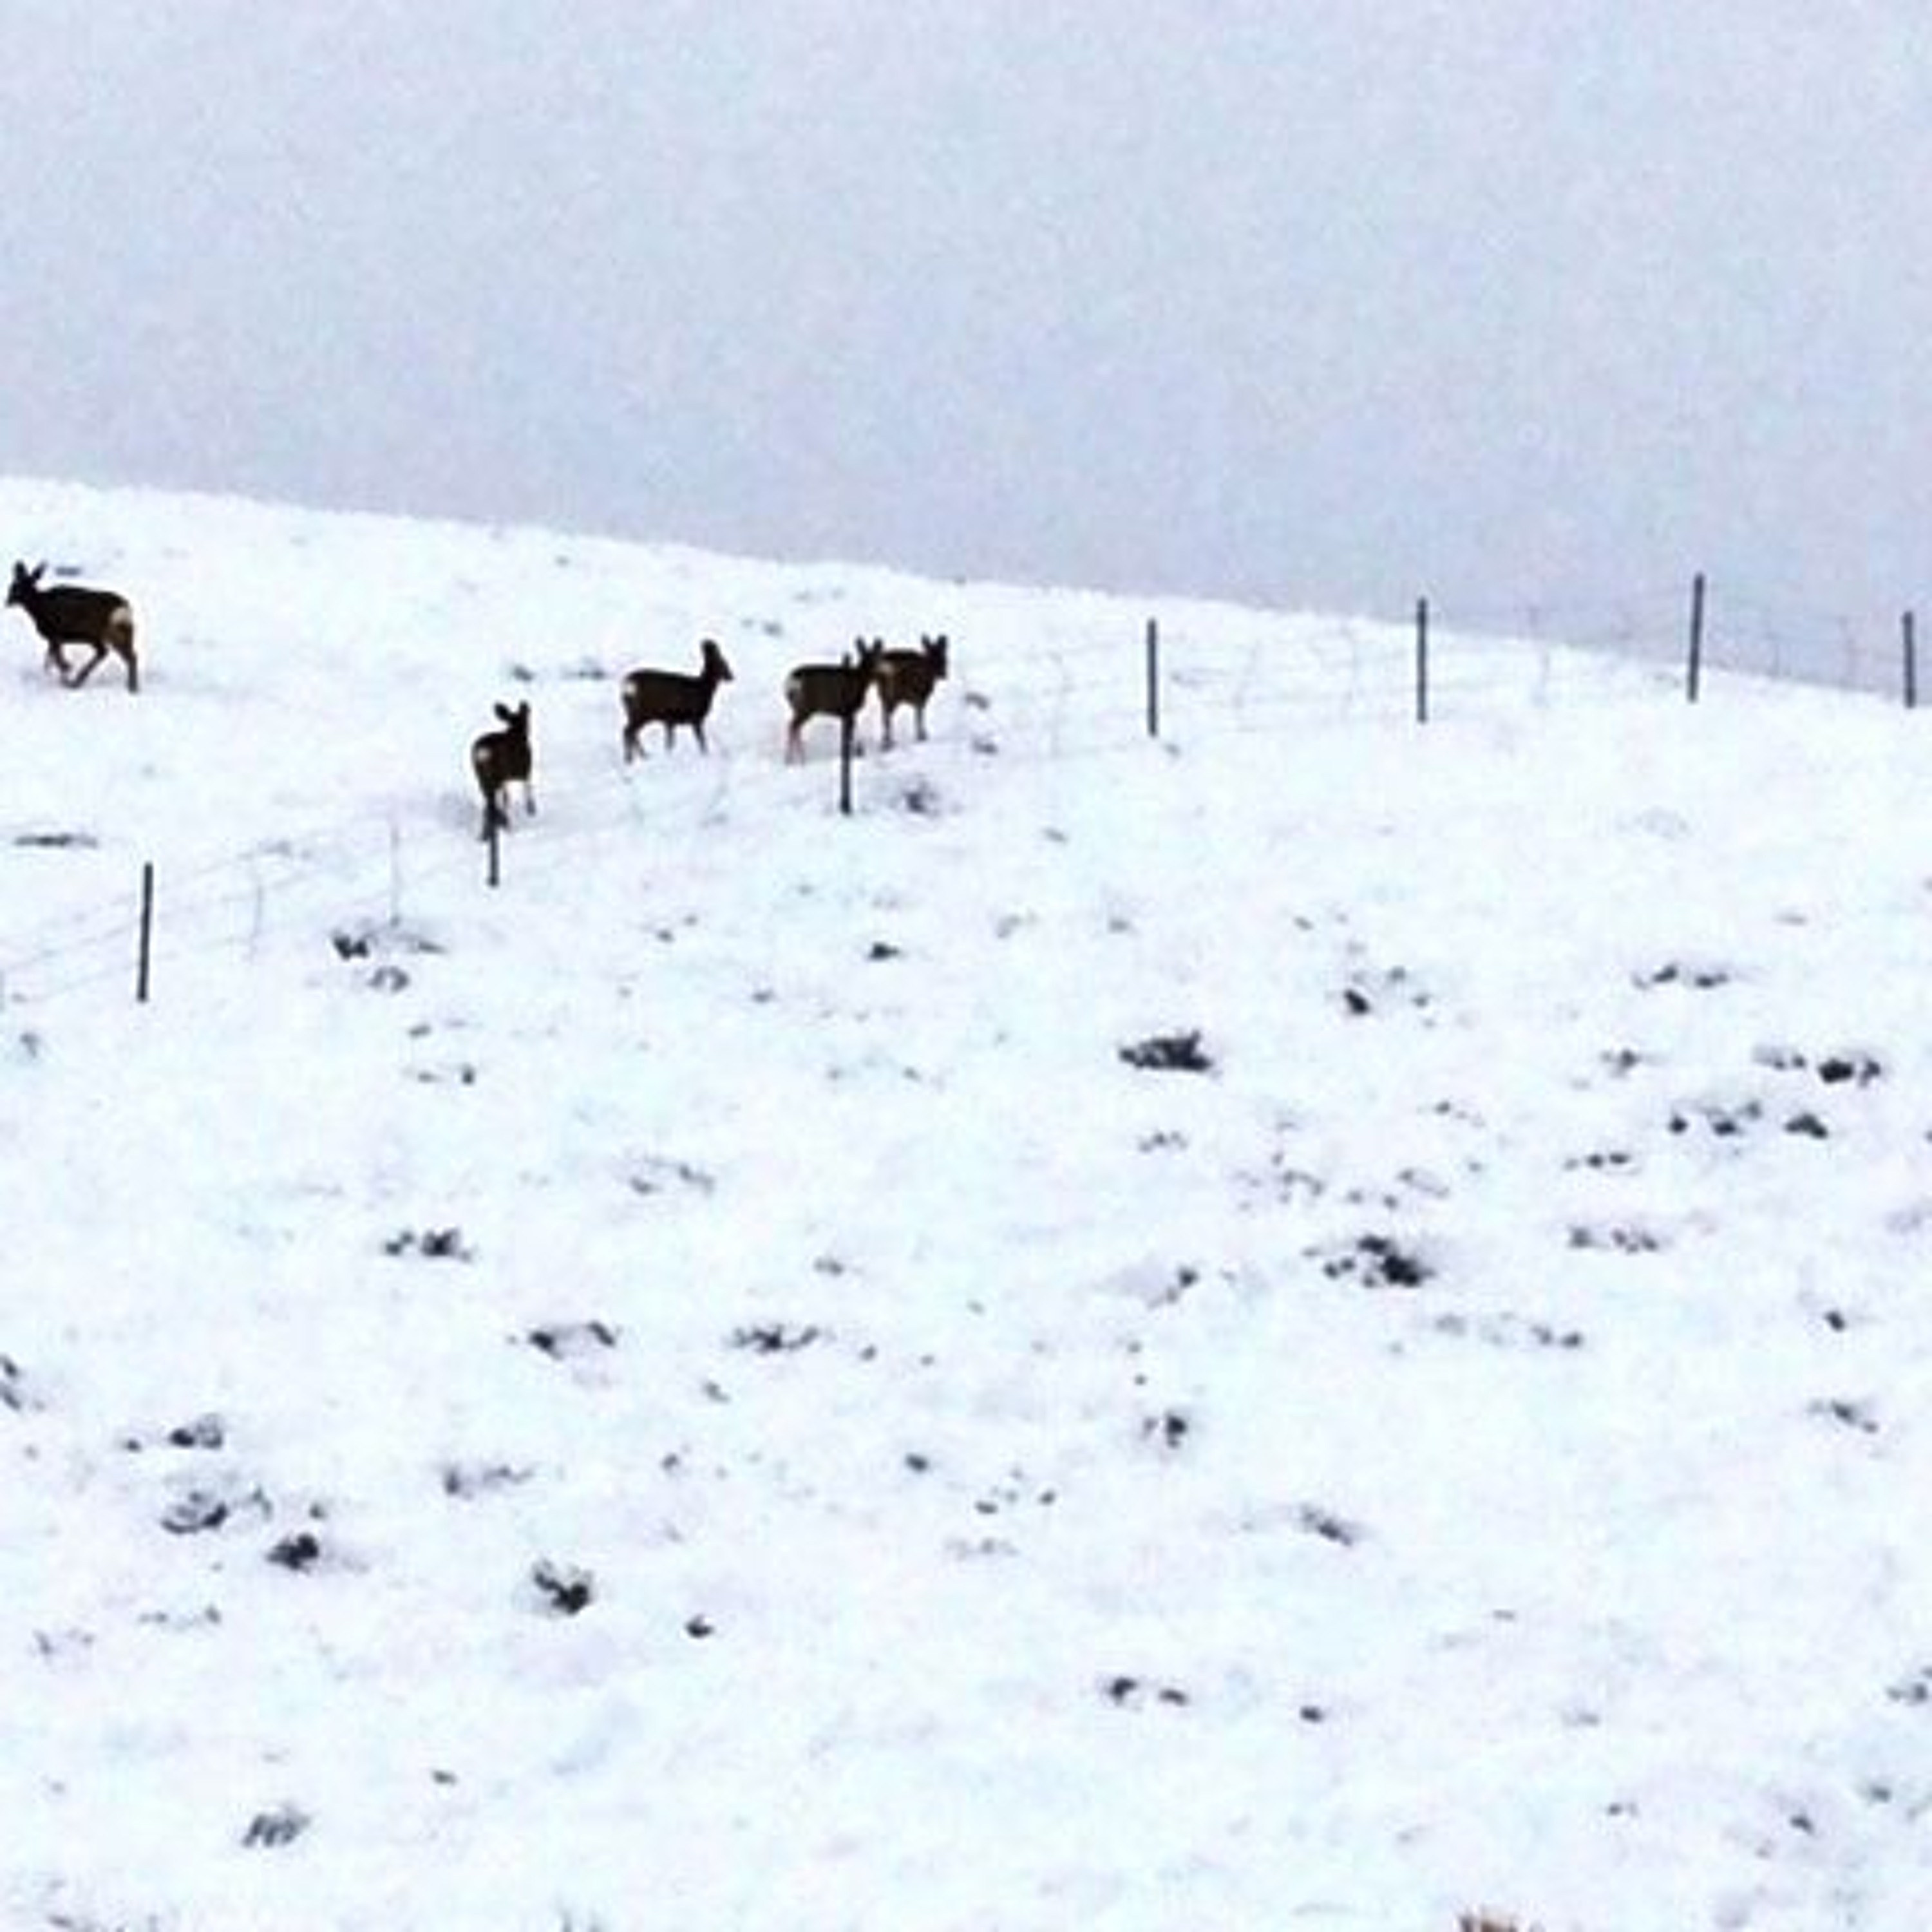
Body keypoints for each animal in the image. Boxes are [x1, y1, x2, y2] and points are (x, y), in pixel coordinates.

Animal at [8, 560, 140, 692]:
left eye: (19, 588)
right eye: (13, 586)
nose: (8, 601)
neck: (39, 609)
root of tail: (123, 609)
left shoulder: (55, 634)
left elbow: (56, 659)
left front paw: (66, 670)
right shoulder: (56, 639)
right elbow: (51, 658)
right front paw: (63, 672)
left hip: (98, 633)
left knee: (112, 653)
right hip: (120, 632)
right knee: (126, 655)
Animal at [470, 701, 533, 839]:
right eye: (526, 718)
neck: (516, 733)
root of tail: (483, 753)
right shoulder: (525, 770)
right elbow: (527, 788)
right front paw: (532, 810)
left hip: (482, 778)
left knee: (489, 804)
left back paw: (486, 834)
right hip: (500, 775)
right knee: (497, 802)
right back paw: (505, 825)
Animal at [620, 639, 734, 761]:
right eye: (723, 662)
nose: (731, 676)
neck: (701, 689)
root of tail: (627, 684)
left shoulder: (671, 720)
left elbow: (670, 742)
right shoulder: (695, 718)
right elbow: (701, 741)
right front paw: (705, 755)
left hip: (634, 712)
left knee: (631, 732)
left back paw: (641, 757)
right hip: (642, 712)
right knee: (628, 731)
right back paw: (631, 759)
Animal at [783, 639, 884, 763]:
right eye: (877, 659)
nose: (877, 675)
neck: (860, 681)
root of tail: (791, 681)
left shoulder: (846, 714)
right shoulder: (849, 710)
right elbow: (852, 732)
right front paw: (857, 752)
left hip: (796, 707)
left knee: (794, 727)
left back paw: (796, 759)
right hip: (806, 707)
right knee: (793, 726)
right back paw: (795, 760)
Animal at [876, 633, 949, 748]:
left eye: (944, 657)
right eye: (932, 660)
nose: (944, 674)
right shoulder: (920, 696)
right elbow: (919, 716)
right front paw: (922, 736)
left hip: (883, 695)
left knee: (884, 717)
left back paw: (886, 742)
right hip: (894, 695)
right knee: (887, 716)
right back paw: (889, 743)